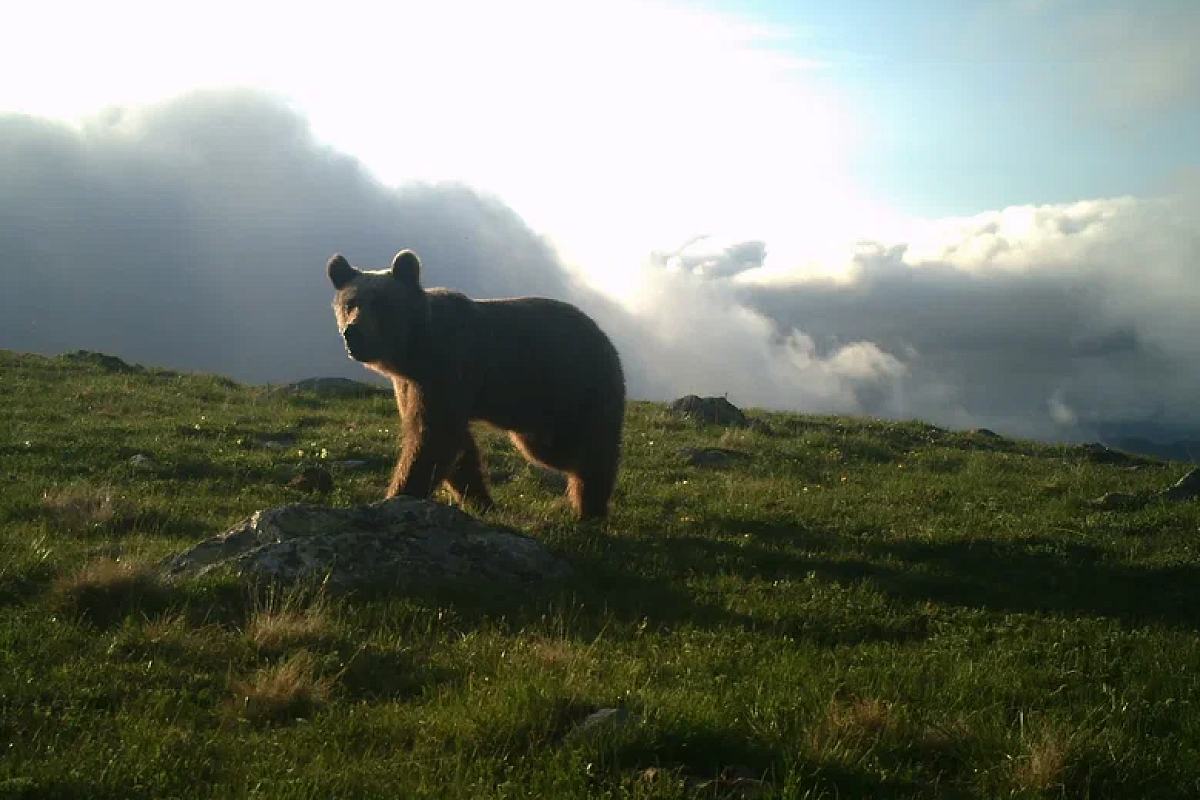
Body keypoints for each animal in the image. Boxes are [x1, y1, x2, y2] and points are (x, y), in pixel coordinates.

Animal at [328, 253, 628, 522]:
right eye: (350, 303)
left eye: (381, 303)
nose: (353, 332)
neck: (414, 351)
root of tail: (603, 335)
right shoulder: (410, 385)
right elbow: (459, 449)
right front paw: (480, 501)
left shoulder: (449, 367)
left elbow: (433, 437)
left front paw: (398, 494)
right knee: (552, 450)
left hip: (581, 385)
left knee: (590, 448)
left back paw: (590, 507)